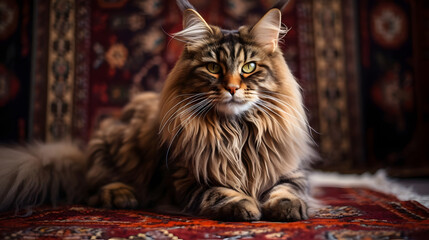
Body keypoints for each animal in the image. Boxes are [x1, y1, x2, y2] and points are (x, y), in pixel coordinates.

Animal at [0, 0, 314, 221]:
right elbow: (220, 193)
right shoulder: (187, 180)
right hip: (114, 147)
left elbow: (287, 190)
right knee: (92, 186)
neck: (237, 132)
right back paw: (122, 195)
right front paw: (244, 206)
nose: (233, 88)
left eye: (249, 67)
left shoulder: (290, 170)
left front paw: (288, 208)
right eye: (214, 68)